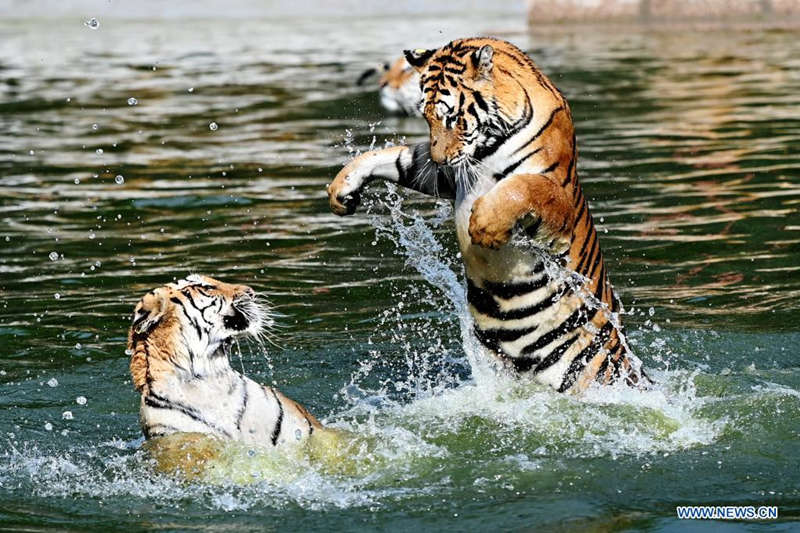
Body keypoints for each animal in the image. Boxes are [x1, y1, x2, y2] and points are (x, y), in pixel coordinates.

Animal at [328, 37, 648, 392]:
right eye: (426, 118)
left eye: (453, 118)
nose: (439, 158)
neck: (488, 145)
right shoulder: (446, 175)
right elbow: (393, 156)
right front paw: (341, 189)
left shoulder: (554, 195)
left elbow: (521, 187)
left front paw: (484, 226)